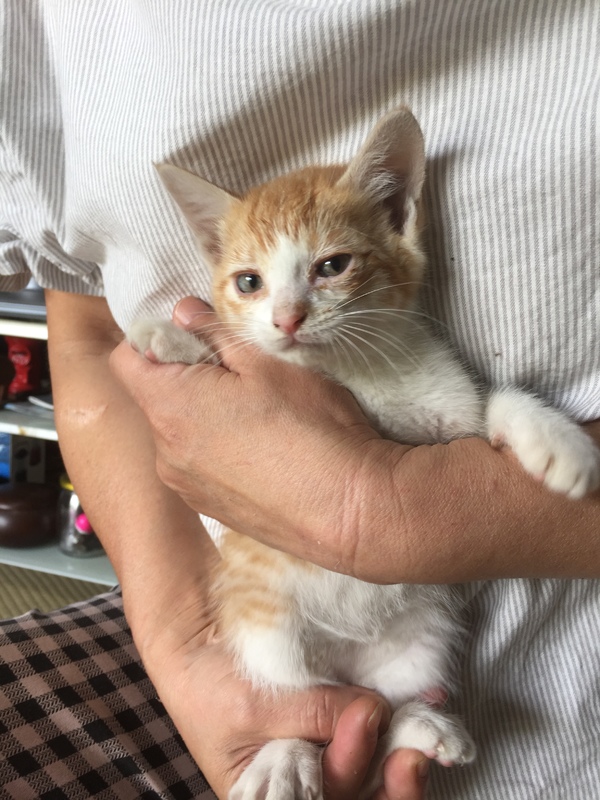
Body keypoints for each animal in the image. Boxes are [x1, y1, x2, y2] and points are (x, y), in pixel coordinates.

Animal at [128, 106, 600, 799]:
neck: (355, 369)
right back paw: (286, 756)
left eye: (333, 266)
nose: (287, 319)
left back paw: (422, 727)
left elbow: (491, 407)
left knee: (374, 713)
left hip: (420, 641)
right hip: (270, 634)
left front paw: (556, 440)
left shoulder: (447, 415)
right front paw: (170, 335)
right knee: (303, 698)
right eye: (249, 282)